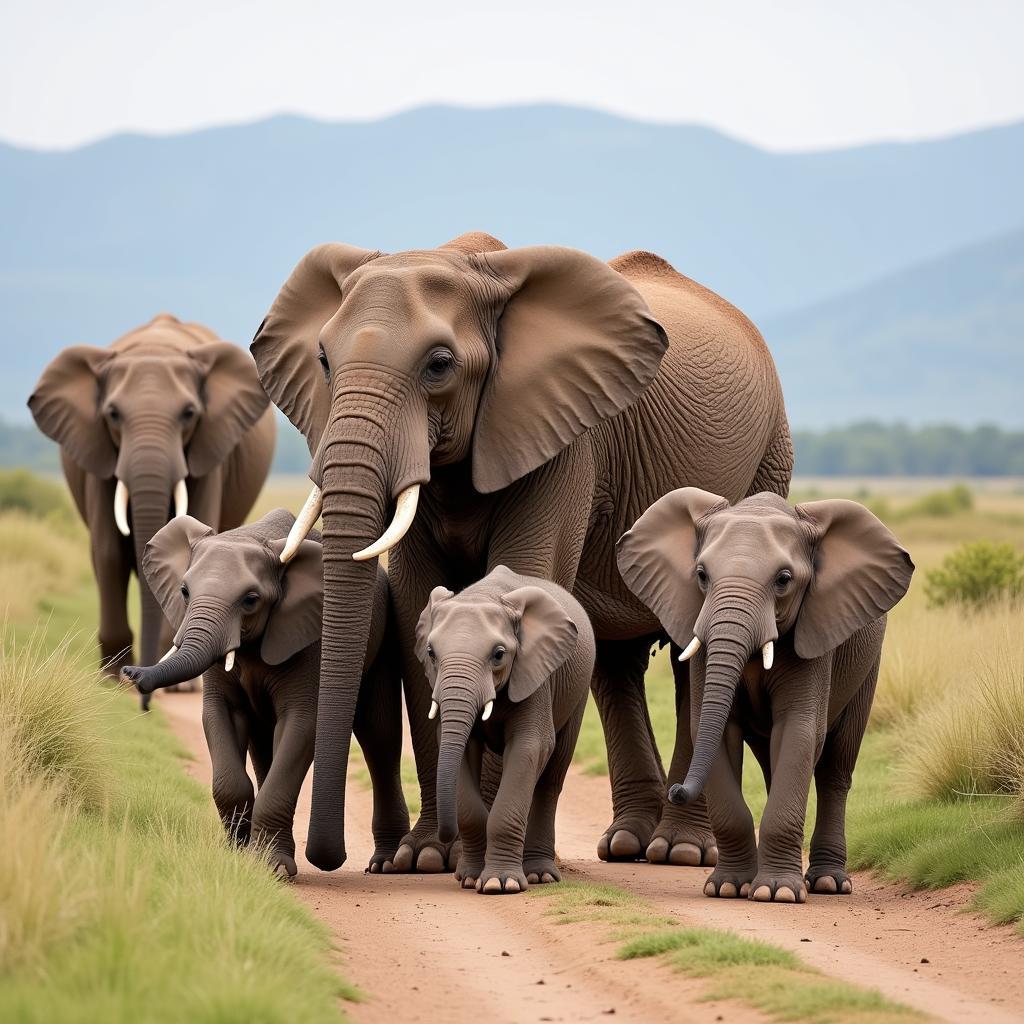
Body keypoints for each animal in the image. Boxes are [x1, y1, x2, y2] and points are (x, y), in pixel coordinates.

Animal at [29, 307, 276, 704]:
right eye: (113, 414)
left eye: (189, 413)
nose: (140, 684)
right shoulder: (99, 452)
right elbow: (108, 551)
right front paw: (111, 681)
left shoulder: (210, 450)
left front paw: (180, 686)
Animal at [119, 507, 407, 876]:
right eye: (184, 591)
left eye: (251, 600)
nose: (129, 673)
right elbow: (222, 721)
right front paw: (239, 856)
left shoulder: (310, 637)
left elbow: (302, 723)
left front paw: (274, 869)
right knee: (262, 743)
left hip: (384, 639)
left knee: (379, 735)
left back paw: (385, 863)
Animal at [413, 565, 598, 892]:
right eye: (431, 653)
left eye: (499, 654)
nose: (446, 835)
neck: (483, 595)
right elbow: (460, 751)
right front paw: (470, 878)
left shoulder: (536, 672)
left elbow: (531, 746)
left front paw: (501, 884)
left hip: (577, 690)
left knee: (551, 777)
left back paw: (540, 875)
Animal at [614, 493, 913, 905]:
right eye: (702, 575)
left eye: (784, 580)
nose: (674, 791)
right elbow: (717, 731)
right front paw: (727, 888)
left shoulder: (813, 640)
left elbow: (800, 729)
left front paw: (778, 893)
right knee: (776, 764)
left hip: (867, 666)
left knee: (836, 768)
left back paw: (828, 883)